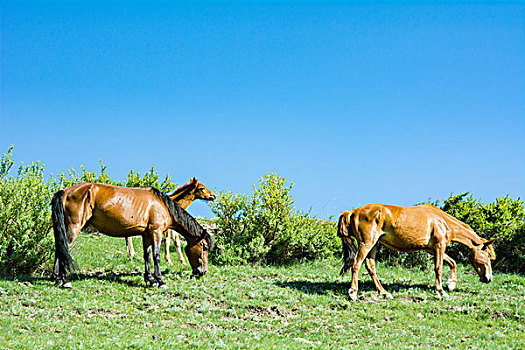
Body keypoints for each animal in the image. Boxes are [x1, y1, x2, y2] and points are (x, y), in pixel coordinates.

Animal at [49, 182, 213, 288]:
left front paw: (150, 280)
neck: (162, 205)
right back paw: (64, 281)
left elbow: (147, 256)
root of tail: (65, 191)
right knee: (63, 248)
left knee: (59, 249)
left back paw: (57, 279)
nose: (203, 271)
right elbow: (157, 256)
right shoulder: (156, 232)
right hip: (73, 227)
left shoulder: (147, 235)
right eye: (204, 247)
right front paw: (160, 281)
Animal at [338, 205, 494, 300]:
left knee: (370, 267)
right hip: (366, 244)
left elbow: (452, 262)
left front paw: (451, 284)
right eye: (487, 255)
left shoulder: (432, 249)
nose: (488, 278)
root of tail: (352, 212)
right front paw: (441, 291)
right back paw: (353, 293)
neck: (442, 222)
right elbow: (438, 268)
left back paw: (384, 293)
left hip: (373, 246)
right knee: (356, 265)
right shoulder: (439, 246)